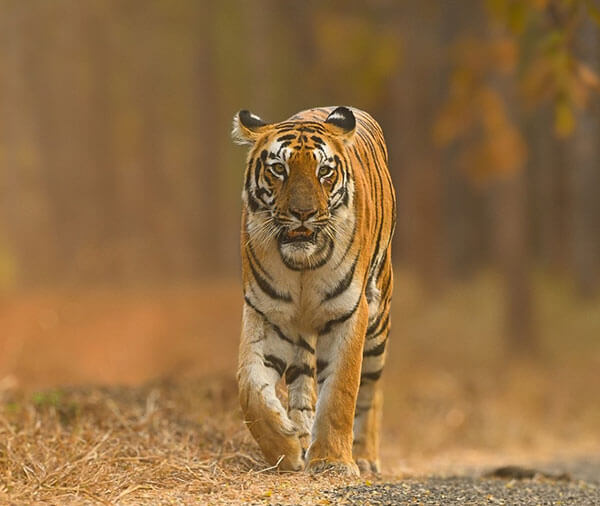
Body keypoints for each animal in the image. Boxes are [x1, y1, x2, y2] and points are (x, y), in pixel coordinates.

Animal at [232, 105, 396, 476]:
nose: (303, 214)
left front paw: (333, 462)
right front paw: (285, 447)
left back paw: (366, 457)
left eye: (324, 172)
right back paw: (303, 434)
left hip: (378, 319)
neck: (302, 266)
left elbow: (340, 391)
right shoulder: (267, 313)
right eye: (279, 169)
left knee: (373, 388)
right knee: (302, 381)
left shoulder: (349, 312)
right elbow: (250, 386)